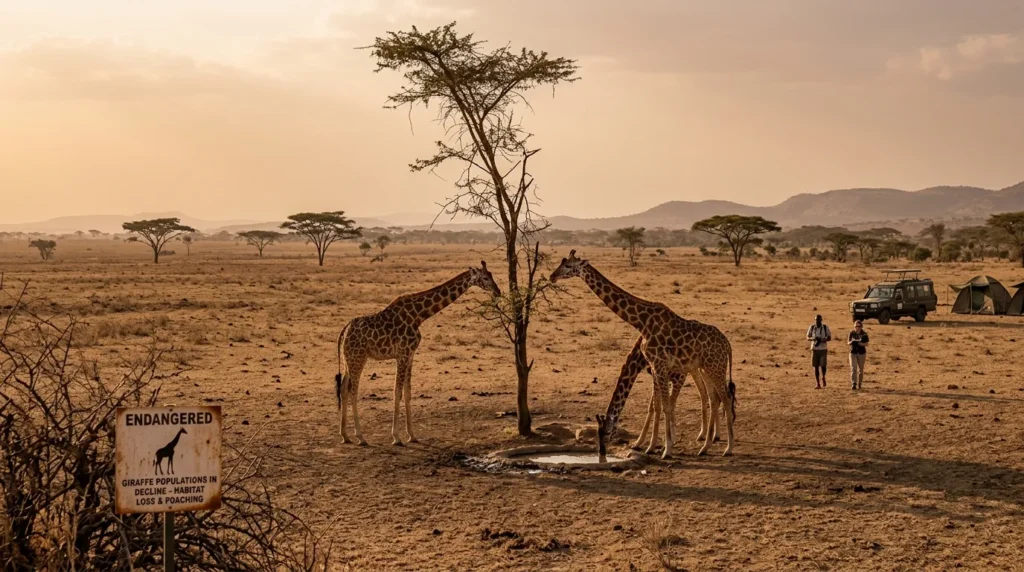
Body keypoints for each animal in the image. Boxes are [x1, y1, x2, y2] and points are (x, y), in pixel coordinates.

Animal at [335, 261, 501, 446]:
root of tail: (344, 331)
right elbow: (397, 392)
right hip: (358, 358)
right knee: (353, 391)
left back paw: (345, 435)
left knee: (343, 389)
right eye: (485, 278)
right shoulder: (402, 353)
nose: (498, 292)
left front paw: (412, 435)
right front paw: (396, 437)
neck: (419, 315)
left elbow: (407, 392)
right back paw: (360, 437)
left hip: (348, 359)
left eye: (491, 275)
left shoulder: (411, 354)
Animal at [550, 250, 736, 459]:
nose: (552, 276)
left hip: (715, 367)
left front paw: (666, 449)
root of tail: (728, 345)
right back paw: (705, 447)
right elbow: (657, 406)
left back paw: (728, 448)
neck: (642, 322)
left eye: (568, 266)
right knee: (714, 398)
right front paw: (653, 445)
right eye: (561, 263)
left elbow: (665, 405)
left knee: (725, 398)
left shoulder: (661, 365)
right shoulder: (656, 367)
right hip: (706, 368)